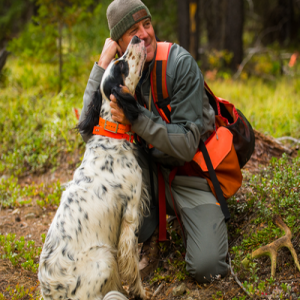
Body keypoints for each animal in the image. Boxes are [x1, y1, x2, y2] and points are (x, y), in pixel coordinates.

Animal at [38, 35, 150, 300]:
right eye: (121, 65)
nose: (136, 37)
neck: (112, 133)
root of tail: (50, 293)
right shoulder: (131, 214)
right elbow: (131, 263)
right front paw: (141, 292)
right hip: (104, 258)